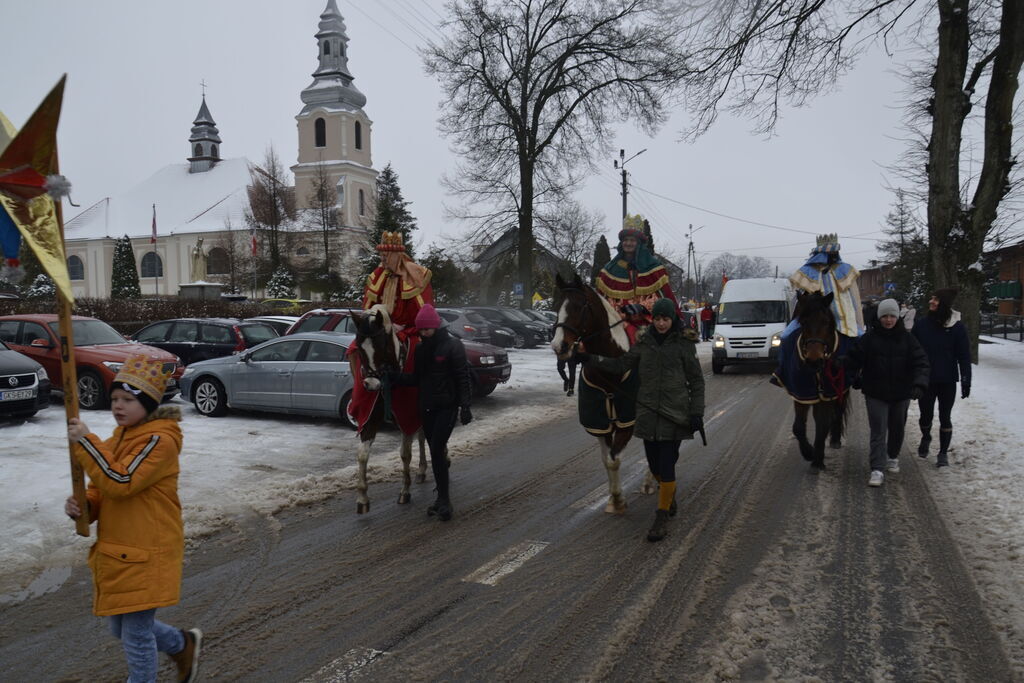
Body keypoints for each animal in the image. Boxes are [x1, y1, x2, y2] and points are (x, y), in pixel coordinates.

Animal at [350, 307, 425, 516]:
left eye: (382, 345)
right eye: (360, 348)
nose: (370, 385)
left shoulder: (408, 416)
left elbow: (405, 454)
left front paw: (405, 490)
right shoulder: (370, 417)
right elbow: (362, 454)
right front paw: (362, 498)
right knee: (422, 437)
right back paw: (422, 470)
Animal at [552, 272, 655, 511]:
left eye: (579, 306)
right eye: (556, 305)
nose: (559, 346)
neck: (609, 366)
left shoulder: (627, 420)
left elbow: (614, 459)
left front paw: (617, 499)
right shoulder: (600, 424)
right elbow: (606, 459)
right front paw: (613, 498)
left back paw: (649, 481)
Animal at [770, 290, 851, 473]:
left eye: (826, 322)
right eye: (803, 322)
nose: (814, 360)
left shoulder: (827, 394)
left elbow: (822, 424)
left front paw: (817, 460)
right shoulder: (802, 394)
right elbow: (798, 427)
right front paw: (809, 453)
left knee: (838, 411)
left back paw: (835, 440)